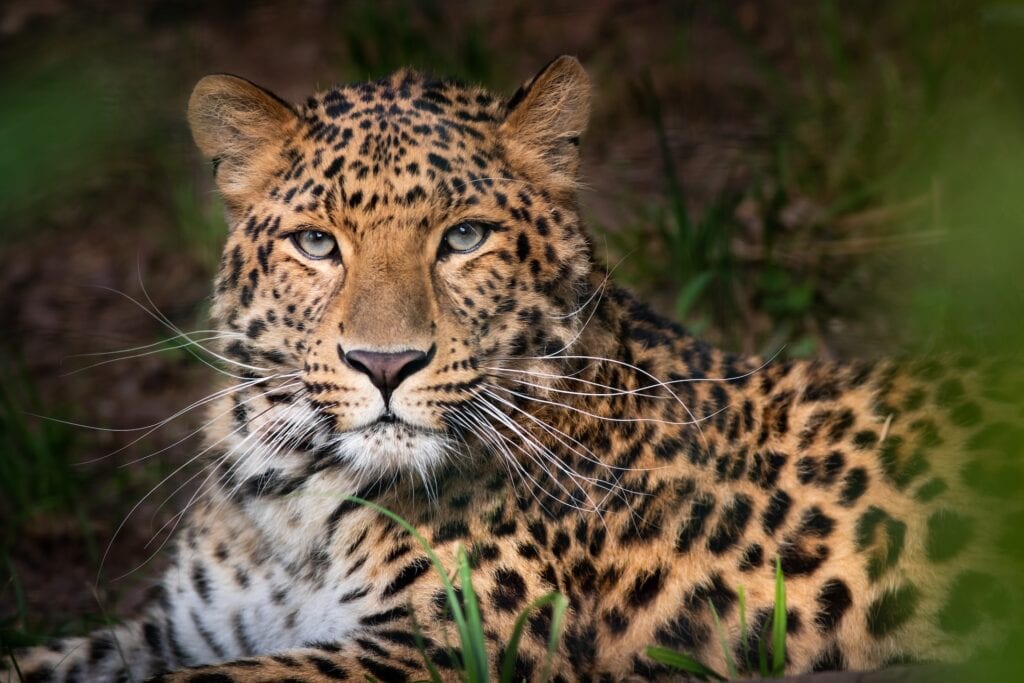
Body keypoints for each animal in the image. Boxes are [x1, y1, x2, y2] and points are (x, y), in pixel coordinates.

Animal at [5, 55, 1023, 683]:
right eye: (316, 243)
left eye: (463, 237)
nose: (384, 363)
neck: (288, 496)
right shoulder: (176, 627)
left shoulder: (448, 644)